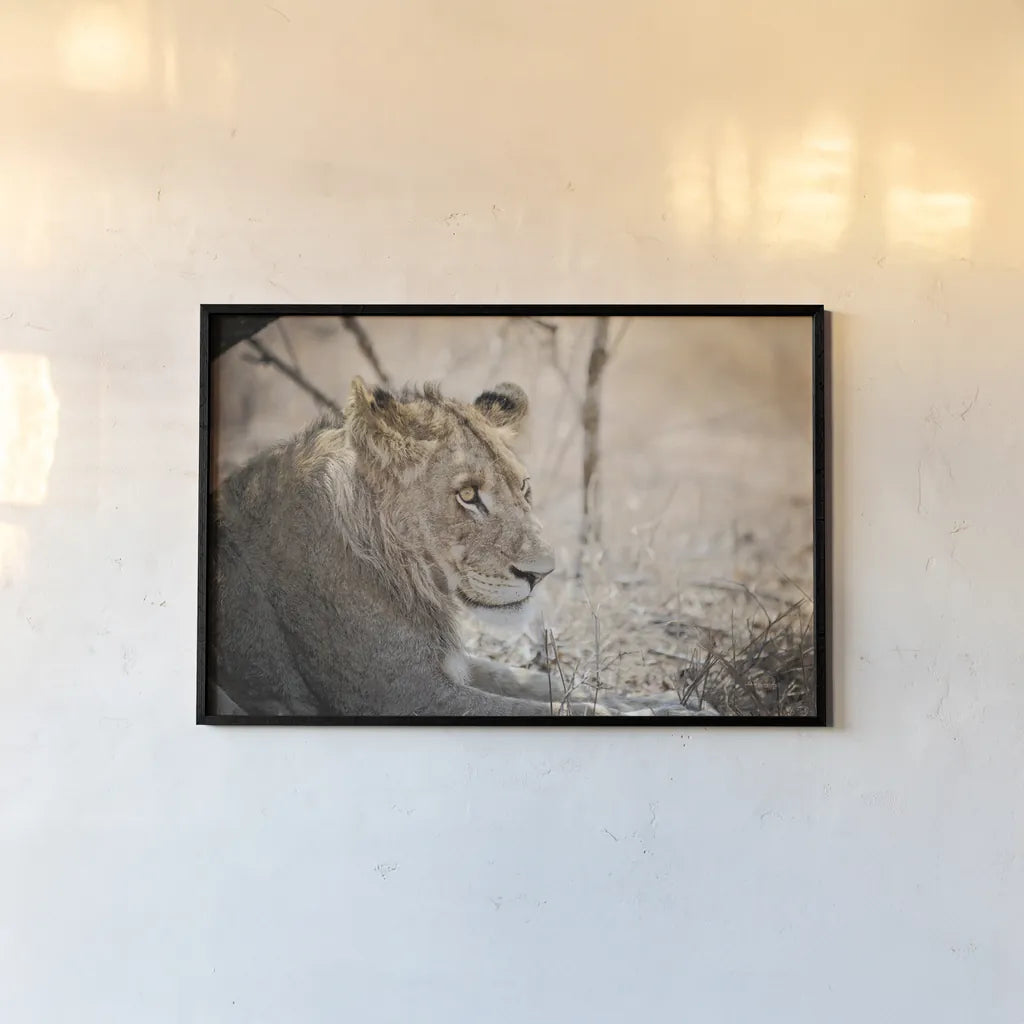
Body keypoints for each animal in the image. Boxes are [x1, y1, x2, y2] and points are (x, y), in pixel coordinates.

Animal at [208, 376, 690, 717]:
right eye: (468, 495)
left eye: (524, 487)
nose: (541, 574)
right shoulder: (401, 694)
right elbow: (541, 707)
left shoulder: (444, 665)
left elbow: (527, 681)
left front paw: (656, 703)